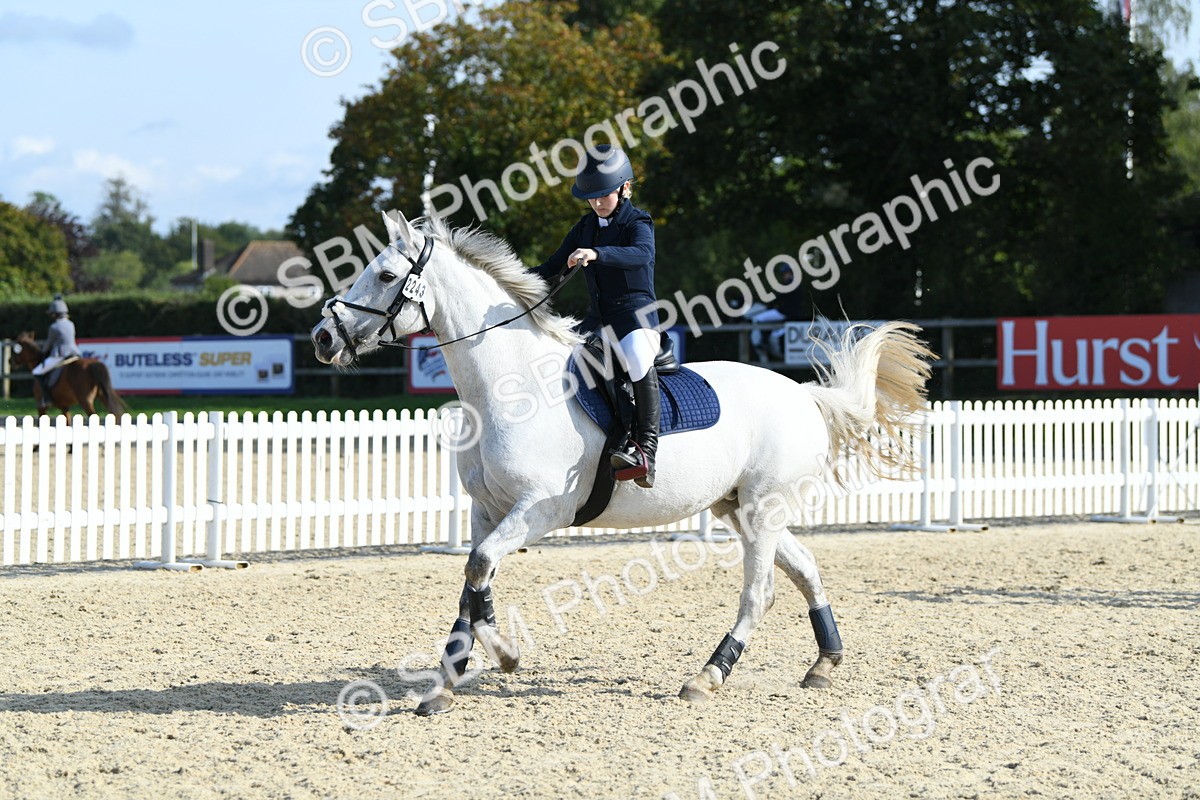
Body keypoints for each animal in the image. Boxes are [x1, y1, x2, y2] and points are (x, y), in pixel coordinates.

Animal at [311, 210, 933, 715]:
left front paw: (505, 656)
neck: (512, 385)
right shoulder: (486, 511)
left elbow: (480, 569)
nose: (323, 337)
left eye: (385, 276)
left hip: (764, 508)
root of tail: (804, 394)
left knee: (760, 593)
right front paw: (445, 684)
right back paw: (824, 662)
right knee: (804, 568)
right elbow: (471, 584)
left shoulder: (540, 511)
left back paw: (707, 677)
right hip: (743, 509)